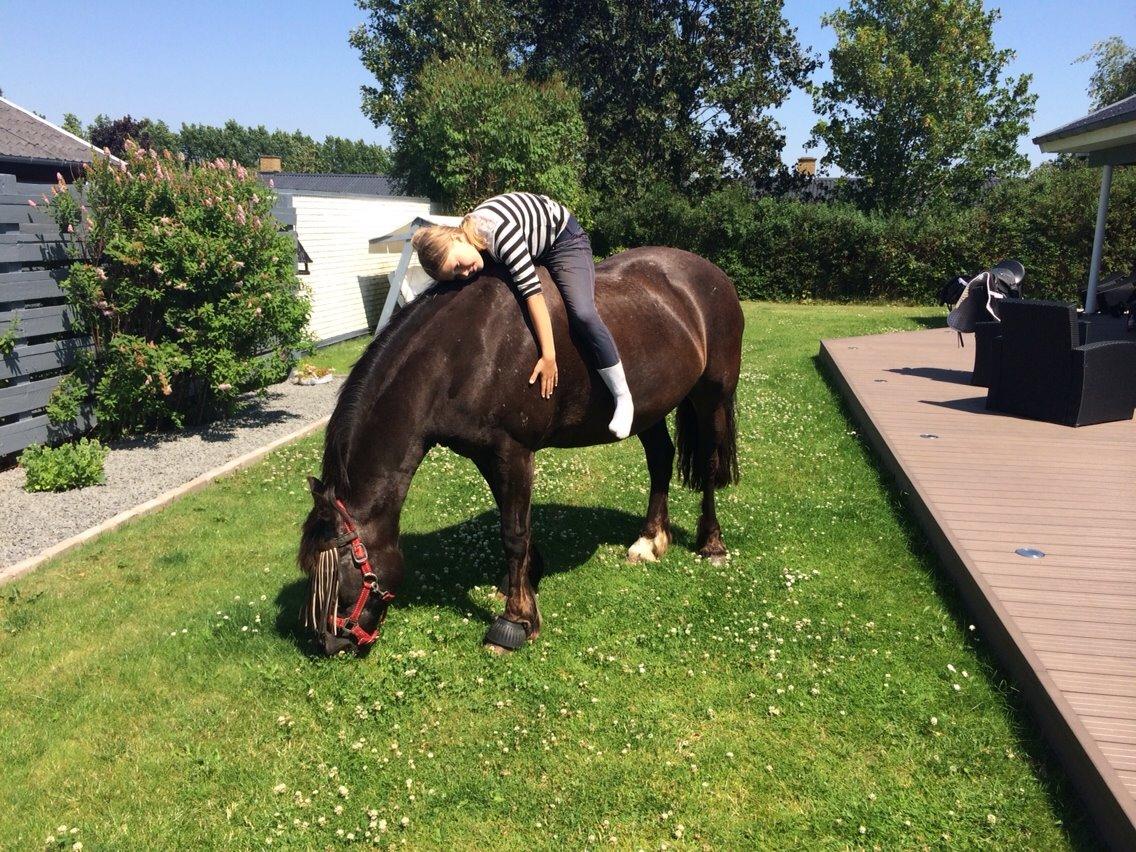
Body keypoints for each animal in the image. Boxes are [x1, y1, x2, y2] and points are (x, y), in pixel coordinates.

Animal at [302, 249, 740, 658]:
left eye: (339, 574)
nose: (331, 643)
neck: (461, 351)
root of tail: (712, 274)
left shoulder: (512, 451)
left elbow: (513, 533)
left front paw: (514, 621)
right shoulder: (487, 454)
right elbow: (514, 522)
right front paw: (528, 579)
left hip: (712, 397)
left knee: (709, 465)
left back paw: (712, 545)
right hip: (648, 409)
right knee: (660, 460)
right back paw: (649, 541)